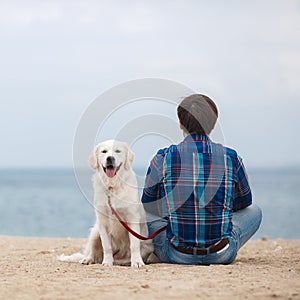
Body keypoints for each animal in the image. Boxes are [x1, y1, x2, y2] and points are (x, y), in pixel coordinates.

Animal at [60, 140, 156, 268]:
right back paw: (89, 259)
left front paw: (137, 262)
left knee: (125, 257)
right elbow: (107, 246)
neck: (112, 187)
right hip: (95, 232)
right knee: (93, 251)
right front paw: (107, 262)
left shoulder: (132, 219)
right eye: (104, 151)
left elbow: (134, 245)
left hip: (147, 246)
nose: (110, 158)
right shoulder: (103, 222)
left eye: (118, 151)